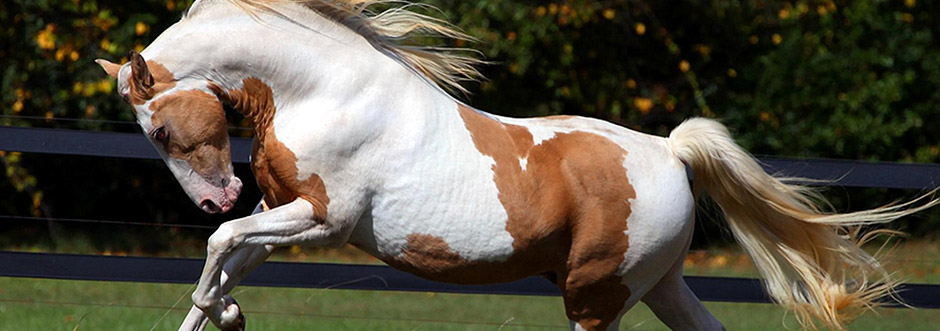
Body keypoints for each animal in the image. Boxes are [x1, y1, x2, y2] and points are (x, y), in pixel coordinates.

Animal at [99, 1, 936, 330]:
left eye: (160, 130)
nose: (215, 194)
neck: (322, 90)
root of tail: (670, 152)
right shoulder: (281, 215)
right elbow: (227, 259)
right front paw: (223, 313)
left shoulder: (322, 220)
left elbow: (221, 248)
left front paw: (224, 303)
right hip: (660, 283)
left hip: (596, 296)